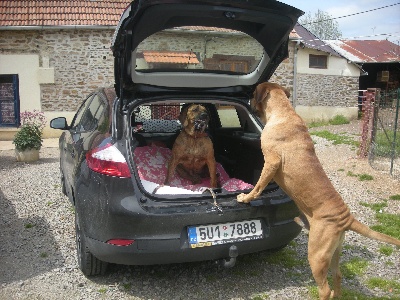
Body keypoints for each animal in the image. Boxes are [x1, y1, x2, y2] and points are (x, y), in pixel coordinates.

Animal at [238, 81, 400, 300]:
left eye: (254, 93)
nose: (247, 97)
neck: (282, 111)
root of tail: (345, 218)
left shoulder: (271, 162)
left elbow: (258, 186)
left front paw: (246, 197)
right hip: (333, 253)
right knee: (338, 276)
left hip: (316, 255)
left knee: (325, 289)